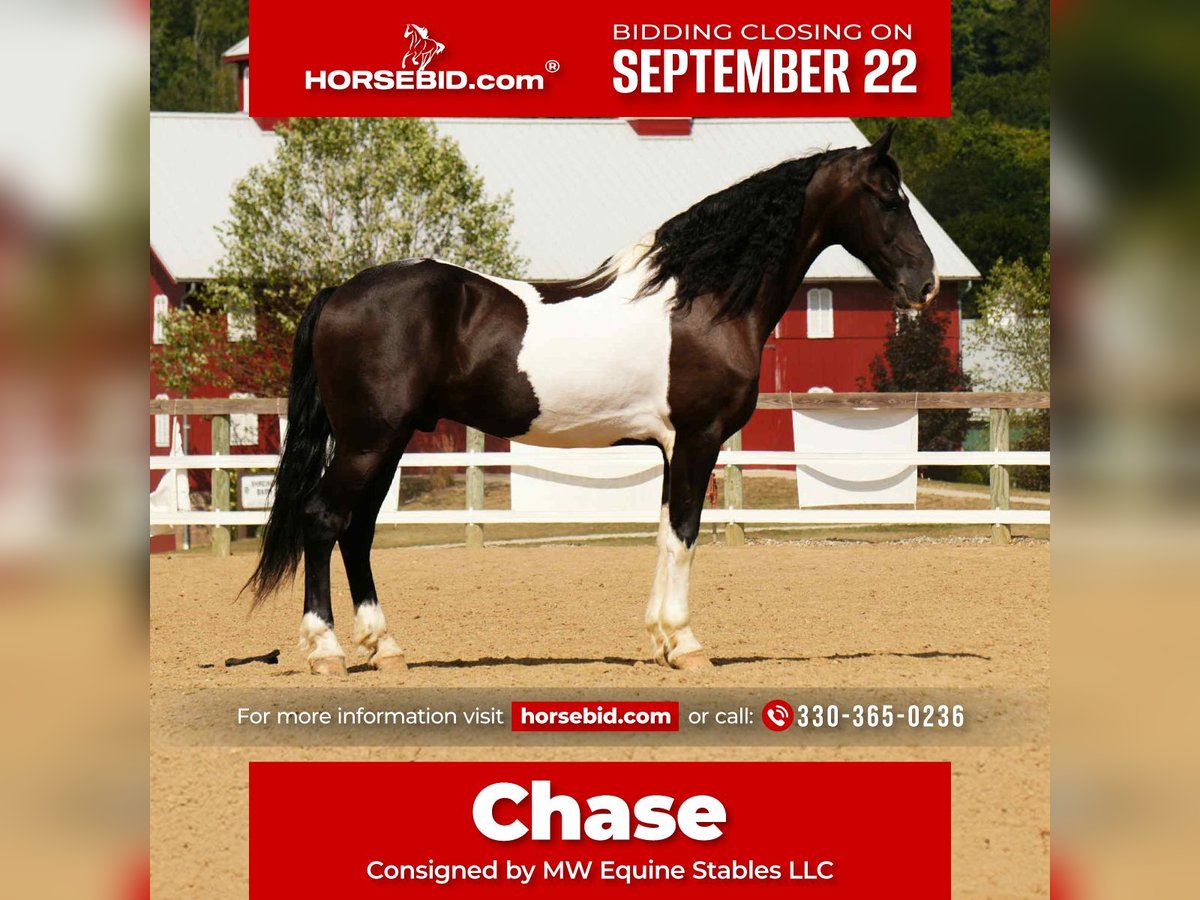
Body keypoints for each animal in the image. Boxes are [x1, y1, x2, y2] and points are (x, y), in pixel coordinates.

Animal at [244, 125, 940, 676]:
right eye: (888, 198)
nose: (926, 283)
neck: (701, 300)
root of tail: (339, 291)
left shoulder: (671, 447)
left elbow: (664, 534)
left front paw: (661, 641)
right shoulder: (698, 439)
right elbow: (685, 534)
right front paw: (687, 644)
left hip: (385, 443)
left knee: (357, 530)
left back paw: (385, 648)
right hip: (369, 441)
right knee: (323, 520)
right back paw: (327, 651)